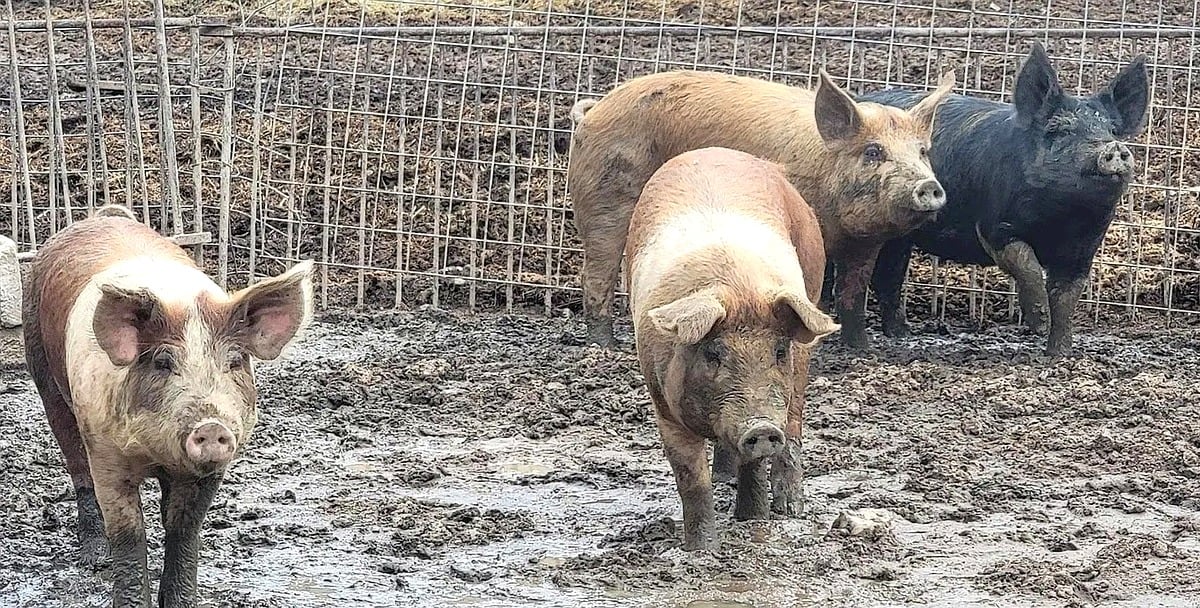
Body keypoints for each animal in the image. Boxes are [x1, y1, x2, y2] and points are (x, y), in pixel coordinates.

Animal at [22, 203, 314, 607]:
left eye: (235, 361)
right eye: (162, 362)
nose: (211, 426)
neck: (157, 455)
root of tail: (100, 217)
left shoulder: (210, 471)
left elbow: (184, 529)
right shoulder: (105, 451)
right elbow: (129, 537)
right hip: (45, 375)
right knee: (76, 466)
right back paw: (94, 558)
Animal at [568, 67, 954, 351]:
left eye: (922, 151)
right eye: (873, 151)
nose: (929, 186)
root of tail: (594, 110)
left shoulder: (865, 245)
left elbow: (854, 293)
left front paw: (861, 349)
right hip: (605, 199)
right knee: (596, 273)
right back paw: (605, 345)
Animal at [627, 146, 839, 550]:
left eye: (779, 352)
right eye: (713, 354)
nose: (761, 427)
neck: (737, 289)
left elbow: (754, 465)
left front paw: (754, 521)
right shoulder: (663, 404)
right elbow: (691, 477)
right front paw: (701, 549)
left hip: (811, 294)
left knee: (793, 427)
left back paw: (790, 508)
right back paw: (725, 478)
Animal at [862, 42, 1149, 356]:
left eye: (1113, 130)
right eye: (1060, 131)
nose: (1114, 148)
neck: (1064, 216)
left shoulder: (1084, 248)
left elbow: (1065, 297)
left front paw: (1060, 354)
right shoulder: (993, 224)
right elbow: (1026, 263)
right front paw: (1039, 323)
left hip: (901, 238)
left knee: (887, 277)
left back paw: (902, 334)